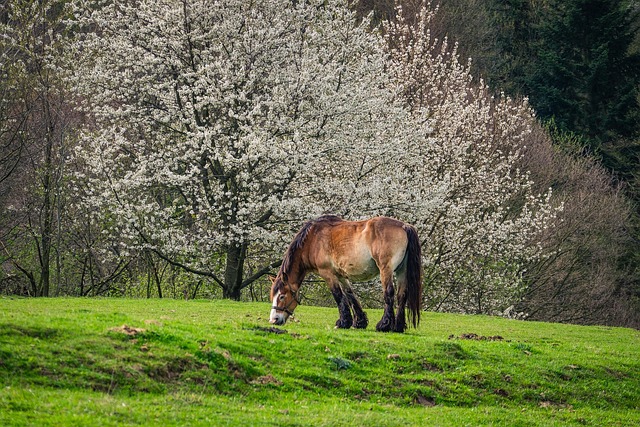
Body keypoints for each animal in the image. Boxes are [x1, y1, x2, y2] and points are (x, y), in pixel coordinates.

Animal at [269, 215, 422, 333]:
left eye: (282, 296)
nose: (273, 320)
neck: (313, 239)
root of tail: (404, 226)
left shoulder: (328, 274)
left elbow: (338, 296)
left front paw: (343, 322)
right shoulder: (341, 275)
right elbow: (350, 295)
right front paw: (359, 322)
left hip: (386, 270)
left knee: (389, 293)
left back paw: (384, 325)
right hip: (402, 270)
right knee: (402, 295)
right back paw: (398, 326)